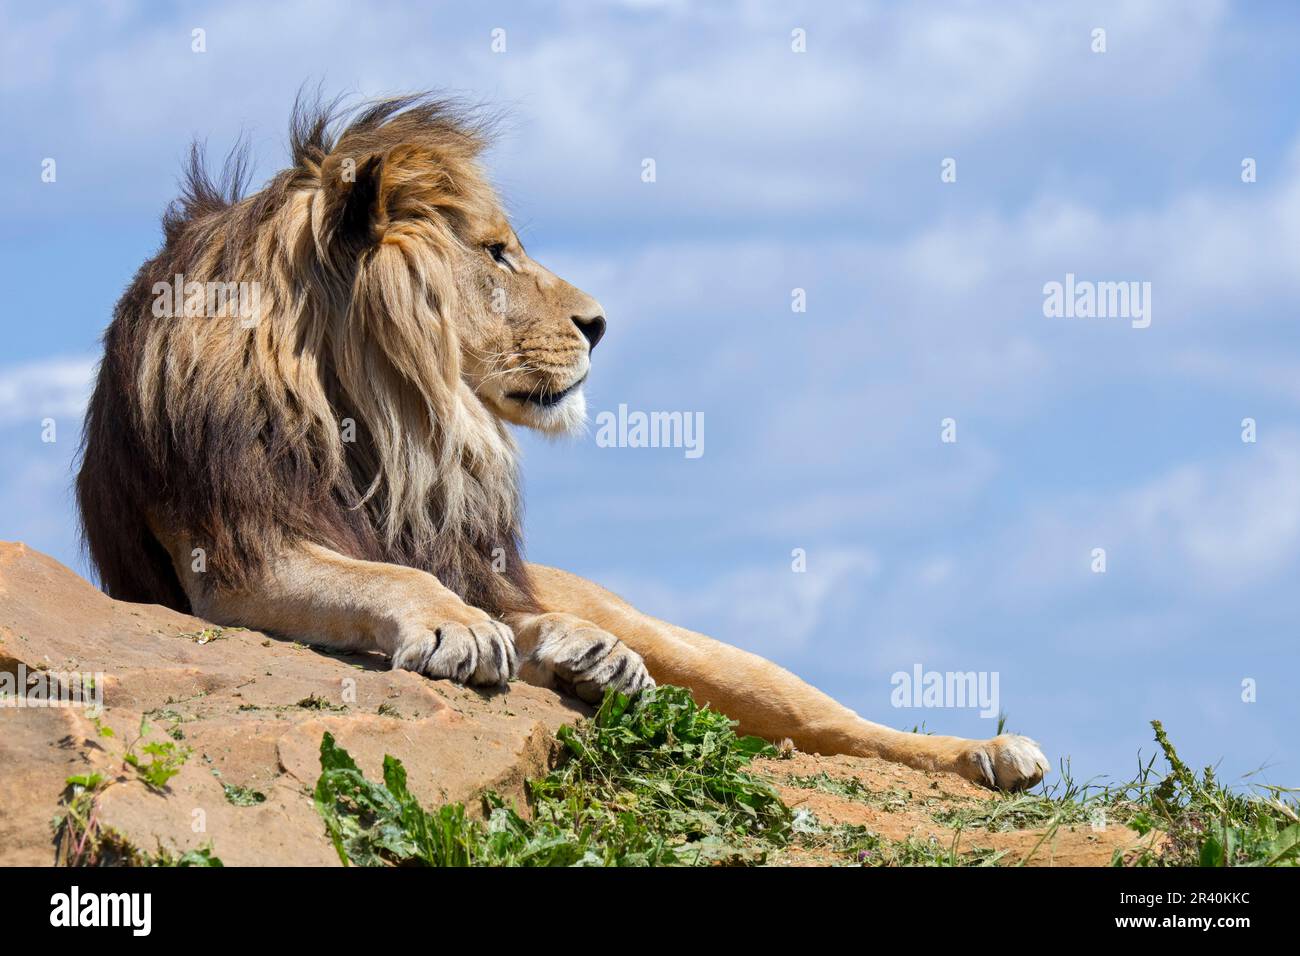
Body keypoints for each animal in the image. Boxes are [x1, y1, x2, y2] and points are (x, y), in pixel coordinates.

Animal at [73, 93, 1045, 790]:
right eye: (498, 253)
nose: (601, 323)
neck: (389, 417)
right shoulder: (232, 559)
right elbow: (389, 575)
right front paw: (462, 630)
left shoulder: (467, 559)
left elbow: (481, 594)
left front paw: (569, 647)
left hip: (699, 649)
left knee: (827, 725)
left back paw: (992, 755)